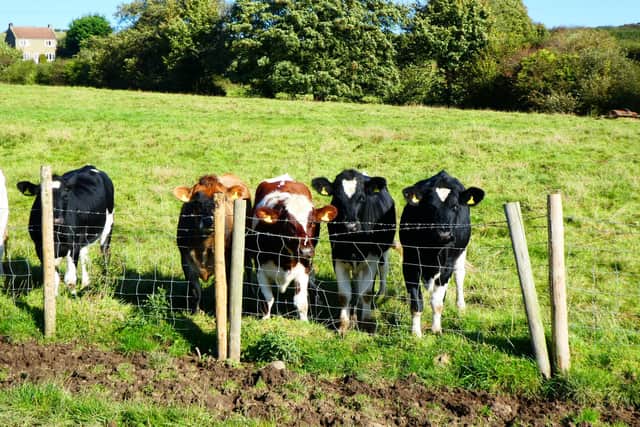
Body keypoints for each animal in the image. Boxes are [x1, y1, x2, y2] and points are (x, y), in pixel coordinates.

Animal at [17, 165, 114, 295]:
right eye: (41, 196)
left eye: (66, 195)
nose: (56, 219)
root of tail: (89, 166)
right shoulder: (39, 247)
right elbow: (53, 277)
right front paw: (54, 296)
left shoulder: (73, 246)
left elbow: (70, 279)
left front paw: (73, 296)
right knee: (84, 254)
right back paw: (85, 283)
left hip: (108, 224)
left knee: (105, 252)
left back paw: (105, 282)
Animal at [173, 174, 252, 313]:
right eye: (196, 202)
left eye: (224, 200)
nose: (208, 221)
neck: (203, 246)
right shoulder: (185, 260)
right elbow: (195, 290)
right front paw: (196, 311)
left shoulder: (227, 261)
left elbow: (225, 287)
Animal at [249, 174, 337, 321]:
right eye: (288, 224)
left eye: (313, 223)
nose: (306, 251)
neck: (284, 259)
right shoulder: (260, 267)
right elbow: (267, 299)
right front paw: (265, 319)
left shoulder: (303, 268)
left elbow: (301, 302)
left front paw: (304, 322)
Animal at [311, 169, 396, 333]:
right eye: (337, 198)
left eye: (362, 197)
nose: (350, 226)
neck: (353, 241)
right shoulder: (337, 257)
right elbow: (345, 295)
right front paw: (344, 325)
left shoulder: (372, 259)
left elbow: (367, 293)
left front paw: (366, 324)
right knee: (357, 282)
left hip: (383, 250)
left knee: (383, 270)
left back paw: (379, 294)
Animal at [399, 170, 484, 336]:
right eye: (430, 207)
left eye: (455, 206)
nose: (444, 234)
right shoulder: (410, 262)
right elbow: (416, 302)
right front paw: (416, 333)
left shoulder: (447, 266)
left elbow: (437, 302)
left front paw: (436, 329)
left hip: (461, 252)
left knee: (459, 275)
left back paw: (460, 306)